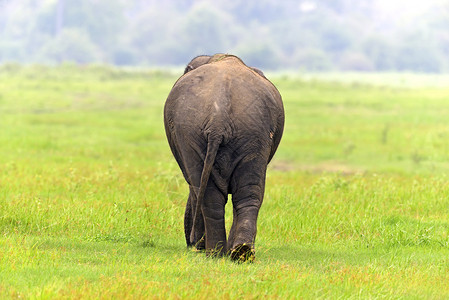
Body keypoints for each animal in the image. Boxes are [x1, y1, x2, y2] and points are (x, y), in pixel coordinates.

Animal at [164, 54, 284, 262]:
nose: (190, 243)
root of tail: (217, 120)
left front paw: (199, 246)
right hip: (251, 134)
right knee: (247, 192)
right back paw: (240, 252)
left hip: (201, 133)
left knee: (206, 193)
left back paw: (215, 253)